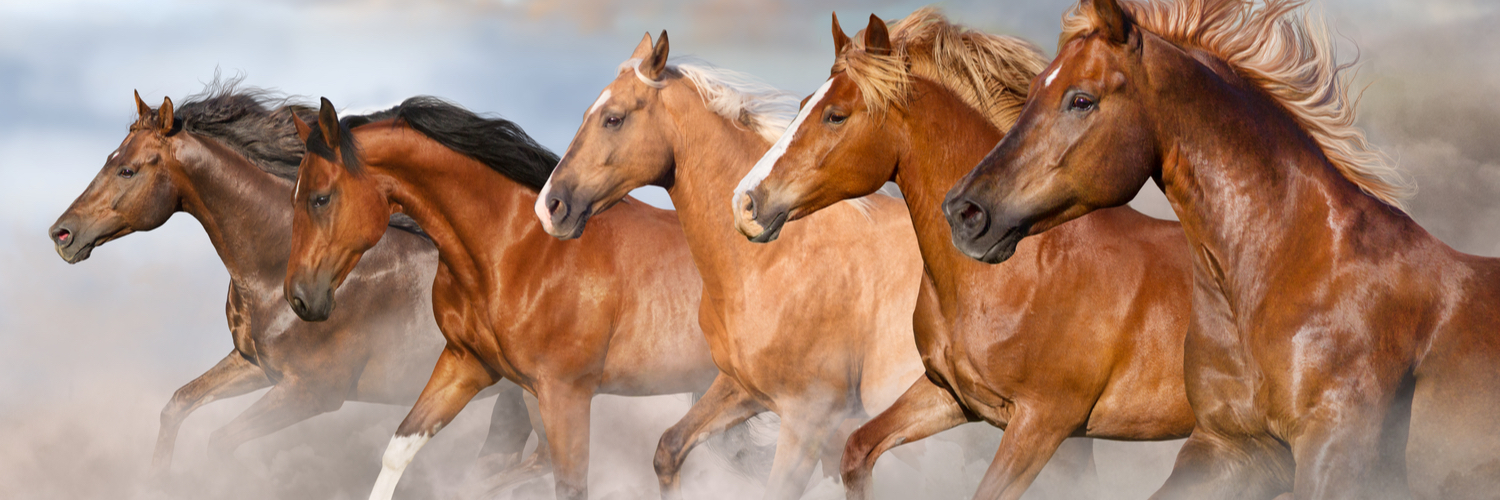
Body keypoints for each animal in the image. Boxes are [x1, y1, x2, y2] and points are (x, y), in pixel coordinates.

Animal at [46, 83, 547, 486]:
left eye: (127, 170)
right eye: (110, 160)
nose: (62, 234)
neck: (274, 271)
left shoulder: (310, 393)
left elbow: (219, 442)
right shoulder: (255, 366)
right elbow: (177, 404)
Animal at [282, 96, 731, 500]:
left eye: (320, 197)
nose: (299, 298)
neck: (517, 250)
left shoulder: (565, 394)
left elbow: (569, 485)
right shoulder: (468, 364)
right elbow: (400, 448)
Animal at [538, 32, 928, 500]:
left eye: (613, 119)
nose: (550, 205)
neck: (776, 259)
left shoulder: (809, 416)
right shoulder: (742, 387)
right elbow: (669, 448)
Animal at [732, 11, 1196, 500]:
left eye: (835, 115)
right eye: (804, 102)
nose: (746, 202)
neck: (1023, 273)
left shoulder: (1044, 424)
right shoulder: (952, 395)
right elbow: (857, 449)